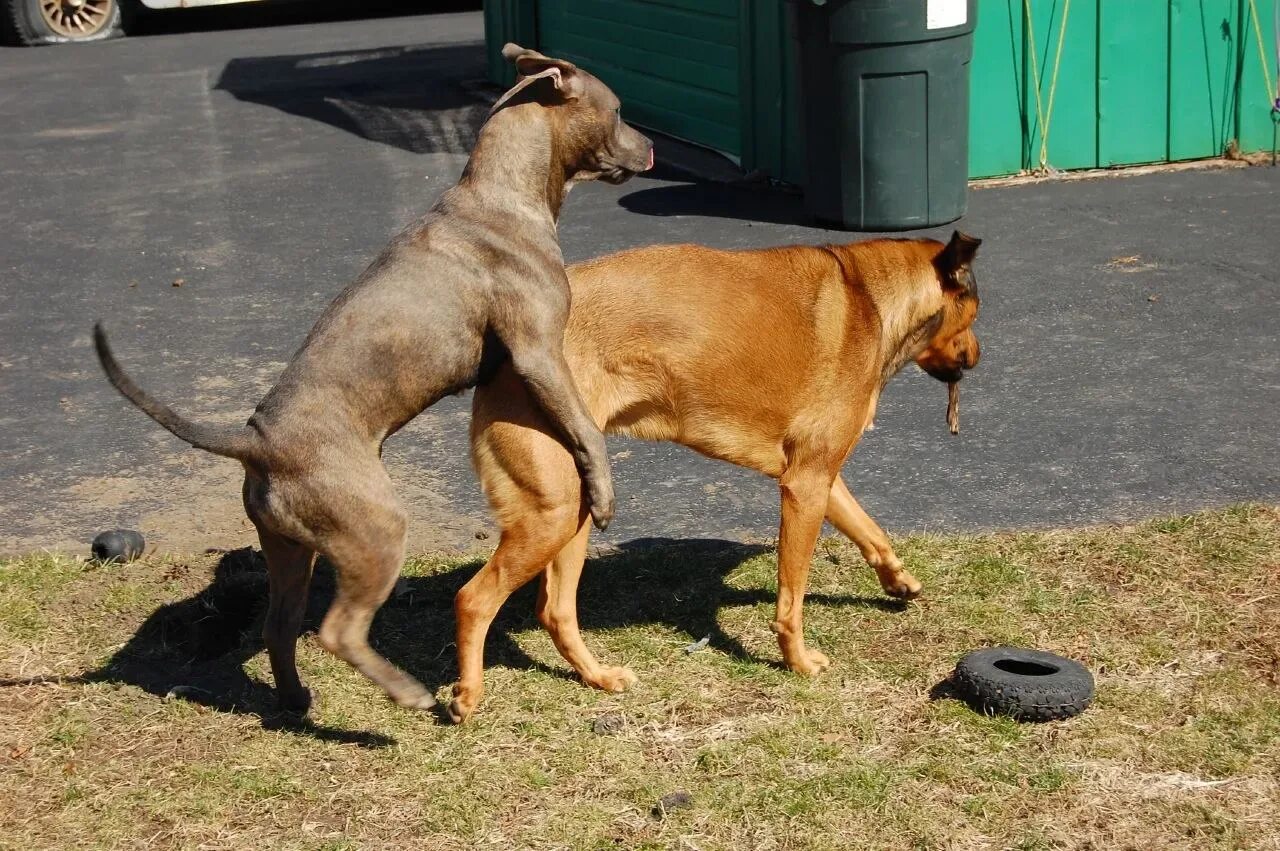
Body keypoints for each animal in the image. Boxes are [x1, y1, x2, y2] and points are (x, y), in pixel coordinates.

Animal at [92, 44, 650, 711]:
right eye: (617, 110)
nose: (652, 148)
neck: (503, 193)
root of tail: (257, 441)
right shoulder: (539, 352)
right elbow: (585, 431)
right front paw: (605, 493)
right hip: (377, 530)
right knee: (336, 629)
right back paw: (409, 693)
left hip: (291, 549)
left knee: (279, 625)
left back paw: (296, 704)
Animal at [450, 230, 977, 716]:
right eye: (974, 312)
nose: (975, 358)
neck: (868, 298)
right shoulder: (805, 486)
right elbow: (792, 599)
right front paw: (798, 661)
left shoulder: (819, 478)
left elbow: (871, 532)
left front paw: (899, 581)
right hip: (553, 515)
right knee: (474, 599)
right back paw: (467, 696)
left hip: (578, 506)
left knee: (555, 610)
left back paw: (598, 677)